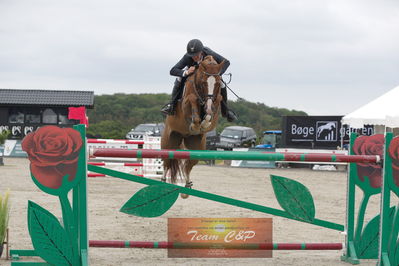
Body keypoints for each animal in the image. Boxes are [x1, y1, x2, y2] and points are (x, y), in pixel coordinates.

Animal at [162, 55, 225, 195]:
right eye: (203, 83)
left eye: (218, 84)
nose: (207, 106)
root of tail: (182, 136)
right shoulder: (186, 103)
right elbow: (191, 99)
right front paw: (195, 125)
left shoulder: (215, 103)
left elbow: (214, 108)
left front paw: (203, 124)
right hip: (169, 143)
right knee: (166, 163)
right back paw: (162, 182)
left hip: (196, 147)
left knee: (188, 165)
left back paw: (187, 188)